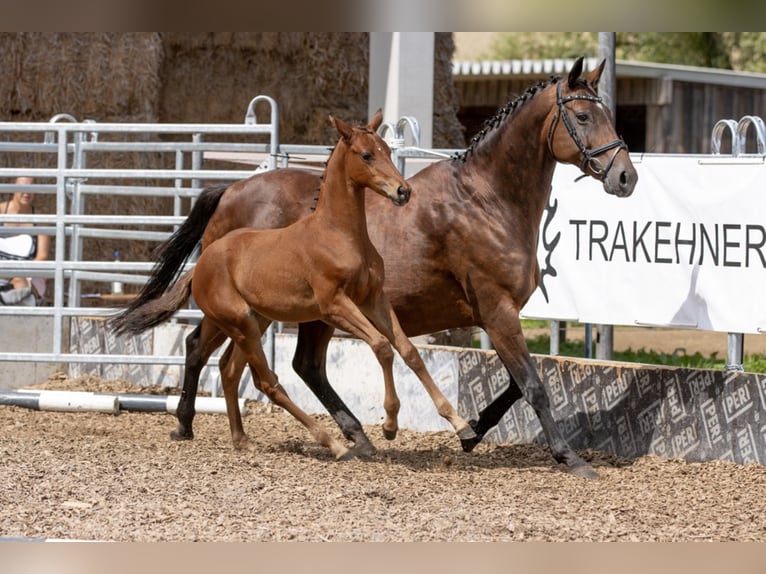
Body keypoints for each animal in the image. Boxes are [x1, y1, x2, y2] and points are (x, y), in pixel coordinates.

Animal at [124, 112, 476, 462]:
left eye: (388, 151)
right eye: (366, 155)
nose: (403, 191)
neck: (340, 234)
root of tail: (201, 266)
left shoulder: (374, 299)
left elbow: (408, 350)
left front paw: (461, 425)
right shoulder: (334, 305)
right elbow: (381, 346)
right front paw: (389, 424)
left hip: (254, 321)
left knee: (230, 368)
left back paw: (241, 438)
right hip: (240, 323)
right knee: (265, 380)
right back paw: (333, 443)